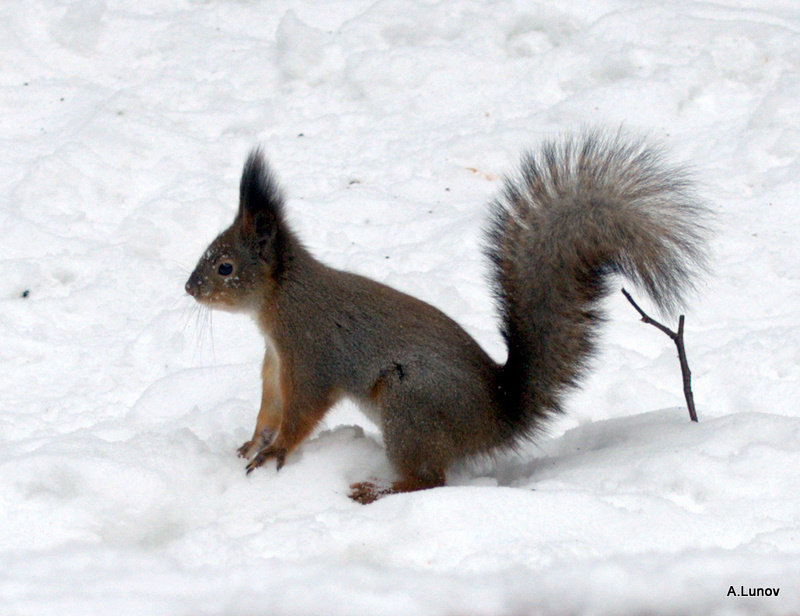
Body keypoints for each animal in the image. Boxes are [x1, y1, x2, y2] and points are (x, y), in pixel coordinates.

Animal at [186, 131, 712, 506]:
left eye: (225, 266)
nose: (189, 288)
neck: (281, 299)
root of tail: (496, 418)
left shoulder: (311, 354)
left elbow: (301, 412)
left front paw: (276, 453)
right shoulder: (276, 363)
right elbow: (270, 408)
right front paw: (251, 444)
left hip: (410, 402)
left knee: (431, 480)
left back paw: (379, 491)